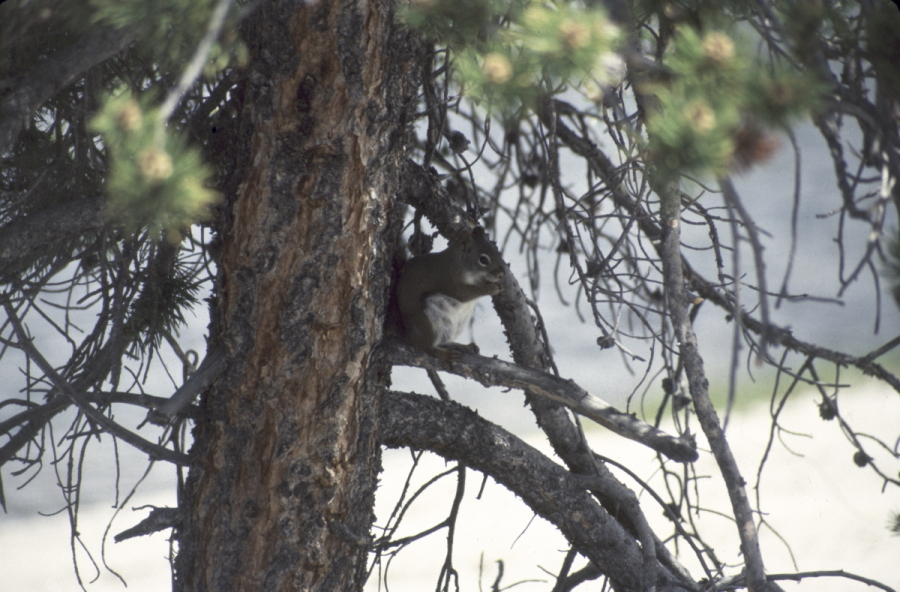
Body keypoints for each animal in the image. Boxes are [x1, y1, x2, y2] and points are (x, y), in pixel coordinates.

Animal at [396, 225, 502, 360]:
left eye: (496, 251)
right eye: (483, 259)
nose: (501, 274)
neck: (456, 263)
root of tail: (409, 338)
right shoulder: (449, 280)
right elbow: (464, 294)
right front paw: (491, 288)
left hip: (452, 326)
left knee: (444, 342)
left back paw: (463, 346)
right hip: (428, 323)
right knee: (426, 347)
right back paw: (444, 354)